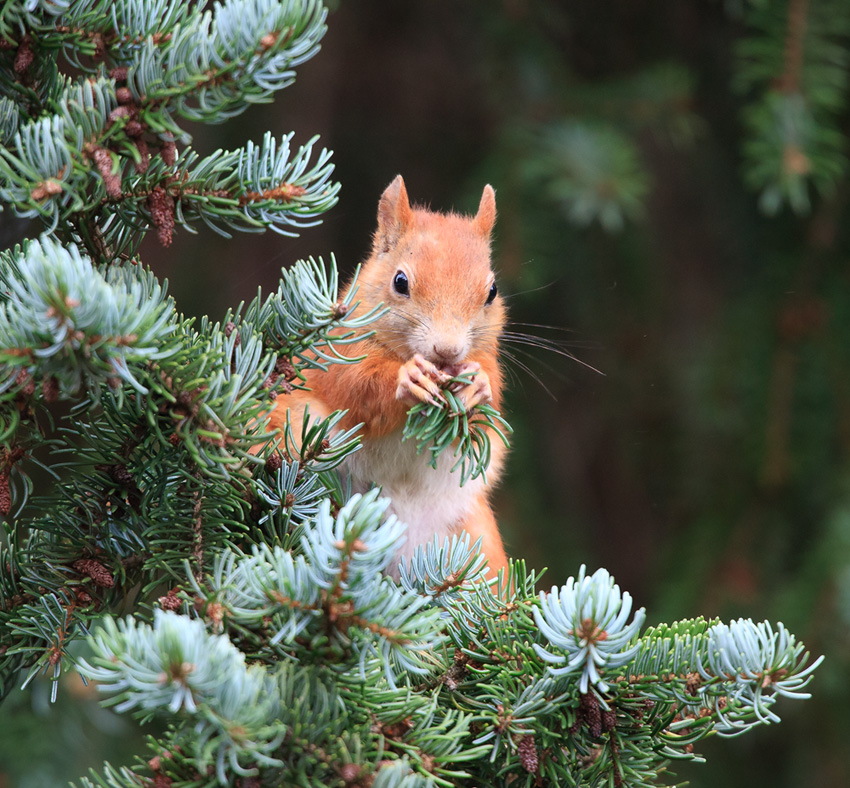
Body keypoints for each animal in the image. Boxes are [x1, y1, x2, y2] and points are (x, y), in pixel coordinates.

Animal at [270, 174, 510, 580]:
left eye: (491, 291)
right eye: (400, 282)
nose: (448, 351)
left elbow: (486, 408)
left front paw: (477, 385)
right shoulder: (337, 352)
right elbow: (357, 388)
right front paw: (407, 379)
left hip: (478, 543)